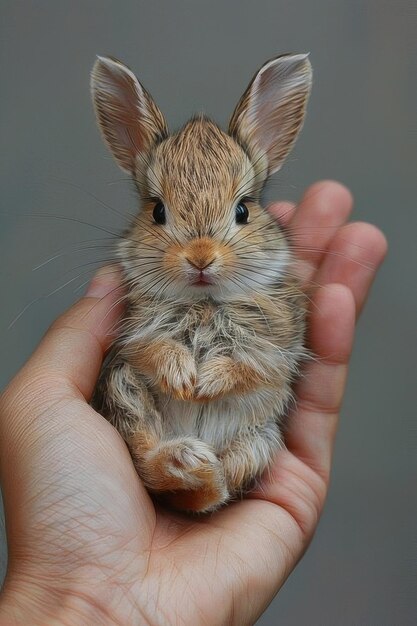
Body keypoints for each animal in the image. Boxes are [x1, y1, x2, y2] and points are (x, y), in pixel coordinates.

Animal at [91, 52, 312, 512]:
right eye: (157, 211)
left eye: (244, 210)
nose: (200, 258)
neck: (205, 301)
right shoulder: (134, 336)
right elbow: (152, 349)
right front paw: (183, 380)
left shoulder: (274, 345)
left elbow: (248, 365)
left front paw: (205, 383)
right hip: (124, 393)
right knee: (149, 461)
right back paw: (186, 460)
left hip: (261, 439)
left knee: (219, 489)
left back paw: (200, 469)